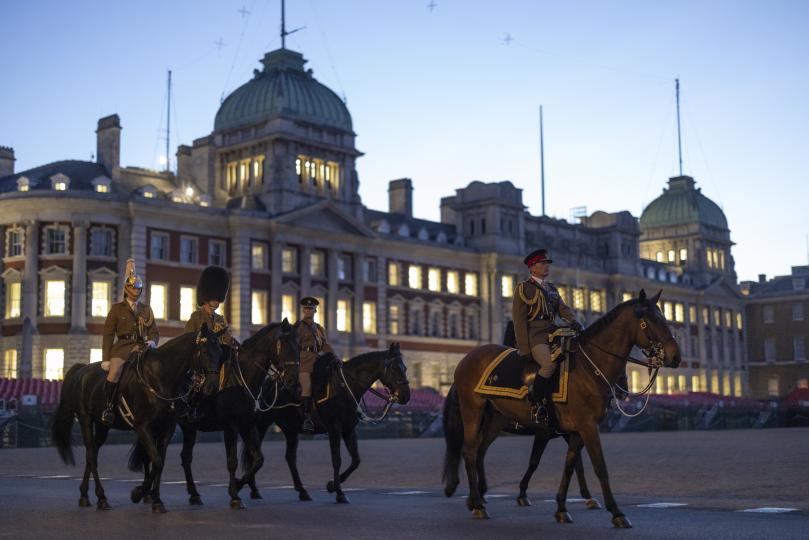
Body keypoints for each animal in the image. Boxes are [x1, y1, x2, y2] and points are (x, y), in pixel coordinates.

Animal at [51, 322, 223, 512]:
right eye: (205, 352)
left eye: (221, 352)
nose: (212, 386)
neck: (159, 378)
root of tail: (82, 369)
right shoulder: (142, 427)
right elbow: (156, 460)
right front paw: (139, 493)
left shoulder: (166, 428)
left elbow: (159, 462)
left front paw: (156, 499)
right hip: (85, 420)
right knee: (91, 455)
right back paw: (101, 497)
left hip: (103, 425)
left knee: (93, 452)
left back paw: (84, 494)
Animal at [128, 320, 298, 510]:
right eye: (283, 344)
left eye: (298, 345)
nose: (293, 380)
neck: (241, 378)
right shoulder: (231, 426)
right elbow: (232, 461)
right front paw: (235, 495)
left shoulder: (248, 425)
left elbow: (258, 459)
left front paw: (239, 485)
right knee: (151, 456)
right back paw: (145, 494)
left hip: (187, 427)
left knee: (184, 458)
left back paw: (192, 495)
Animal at [237, 344, 408, 504]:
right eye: (395, 368)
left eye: (405, 368)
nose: (406, 396)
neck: (344, 387)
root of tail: (267, 383)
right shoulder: (334, 428)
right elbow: (337, 459)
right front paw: (339, 493)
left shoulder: (348, 430)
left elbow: (356, 460)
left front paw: (332, 485)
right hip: (261, 425)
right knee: (255, 453)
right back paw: (254, 489)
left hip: (290, 429)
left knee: (290, 458)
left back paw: (302, 491)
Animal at [446, 292, 680, 528]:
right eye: (652, 320)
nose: (676, 356)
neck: (588, 369)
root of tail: (468, 357)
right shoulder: (584, 427)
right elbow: (598, 466)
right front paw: (616, 512)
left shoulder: (575, 430)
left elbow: (570, 466)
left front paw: (561, 508)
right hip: (472, 412)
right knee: (469, 452)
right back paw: (478, 504)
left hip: (494, 421)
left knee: (479, 452)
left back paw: (476, 498)